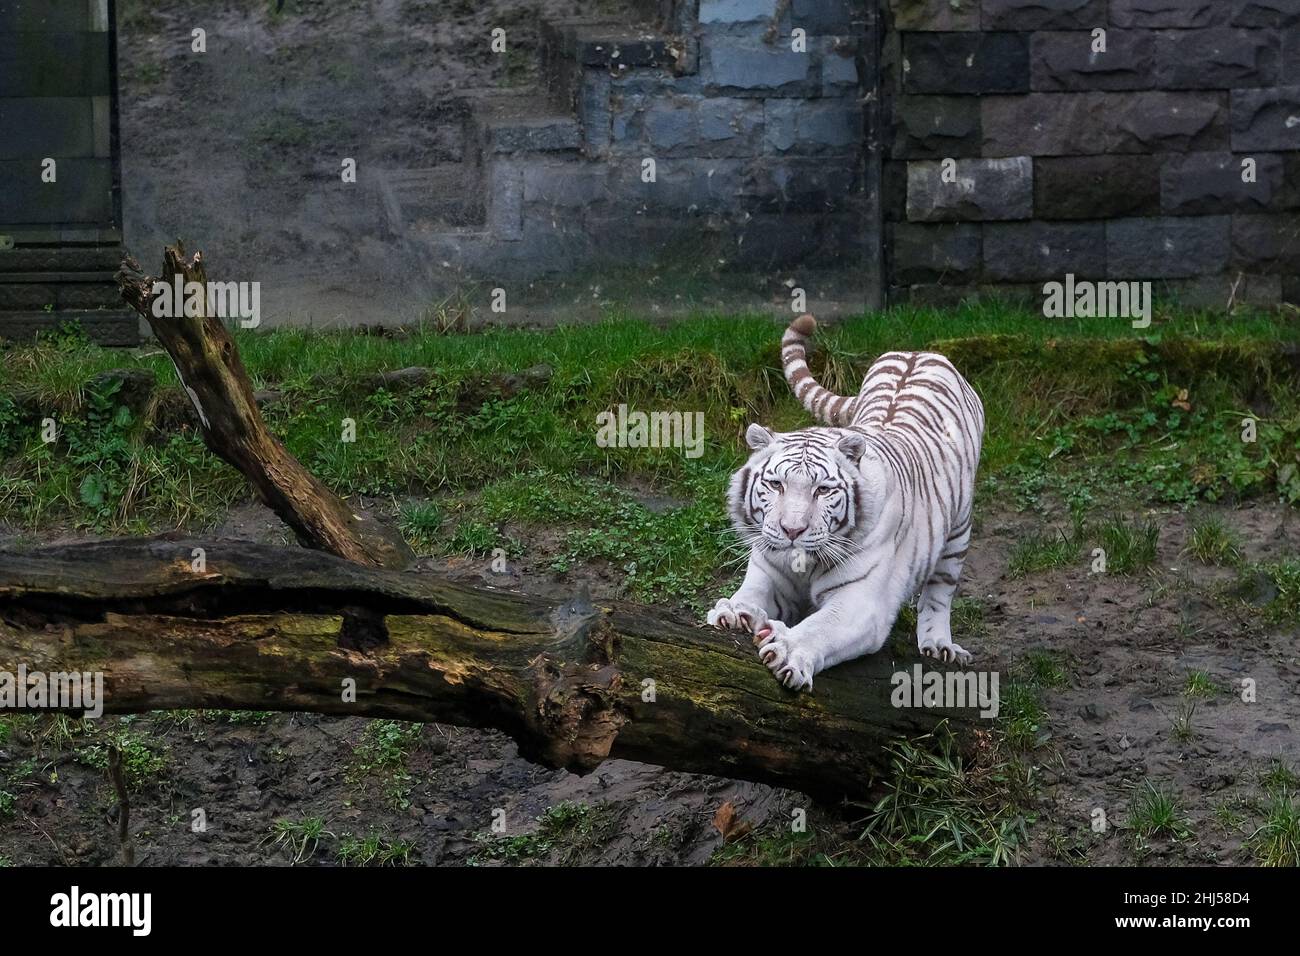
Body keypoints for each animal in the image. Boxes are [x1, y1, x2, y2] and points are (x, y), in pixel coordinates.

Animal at [712, 317, 982, 691]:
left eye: (823, 490)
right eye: (776, 484)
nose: (792, 530)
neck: (804, 566)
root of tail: (920, 352)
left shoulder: (861, 602)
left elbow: (820, 628)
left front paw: (785, 649)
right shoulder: (768, 573)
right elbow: (750, 594)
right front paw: (734, 611)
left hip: (958, 531)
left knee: (940, 592)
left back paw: (940, 645)